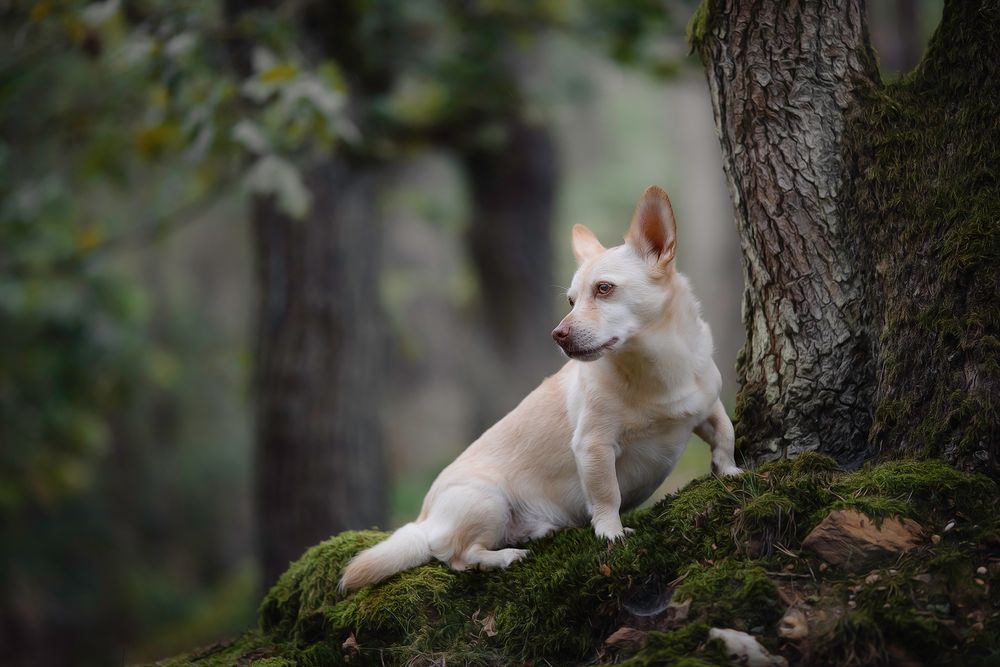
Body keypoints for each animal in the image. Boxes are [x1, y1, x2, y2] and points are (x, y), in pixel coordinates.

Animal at [340, 185, 740, 592]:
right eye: (571, 301)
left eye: (604, 289)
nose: (557, 334)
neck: (659, 370)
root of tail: (423, 520)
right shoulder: (594, 447)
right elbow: (606, 494)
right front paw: (611, 534)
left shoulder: (708, 407)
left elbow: (726, 434)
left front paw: (732, 472)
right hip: (488, 501)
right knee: (458, 557)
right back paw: (503, 557)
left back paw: (537, 532)